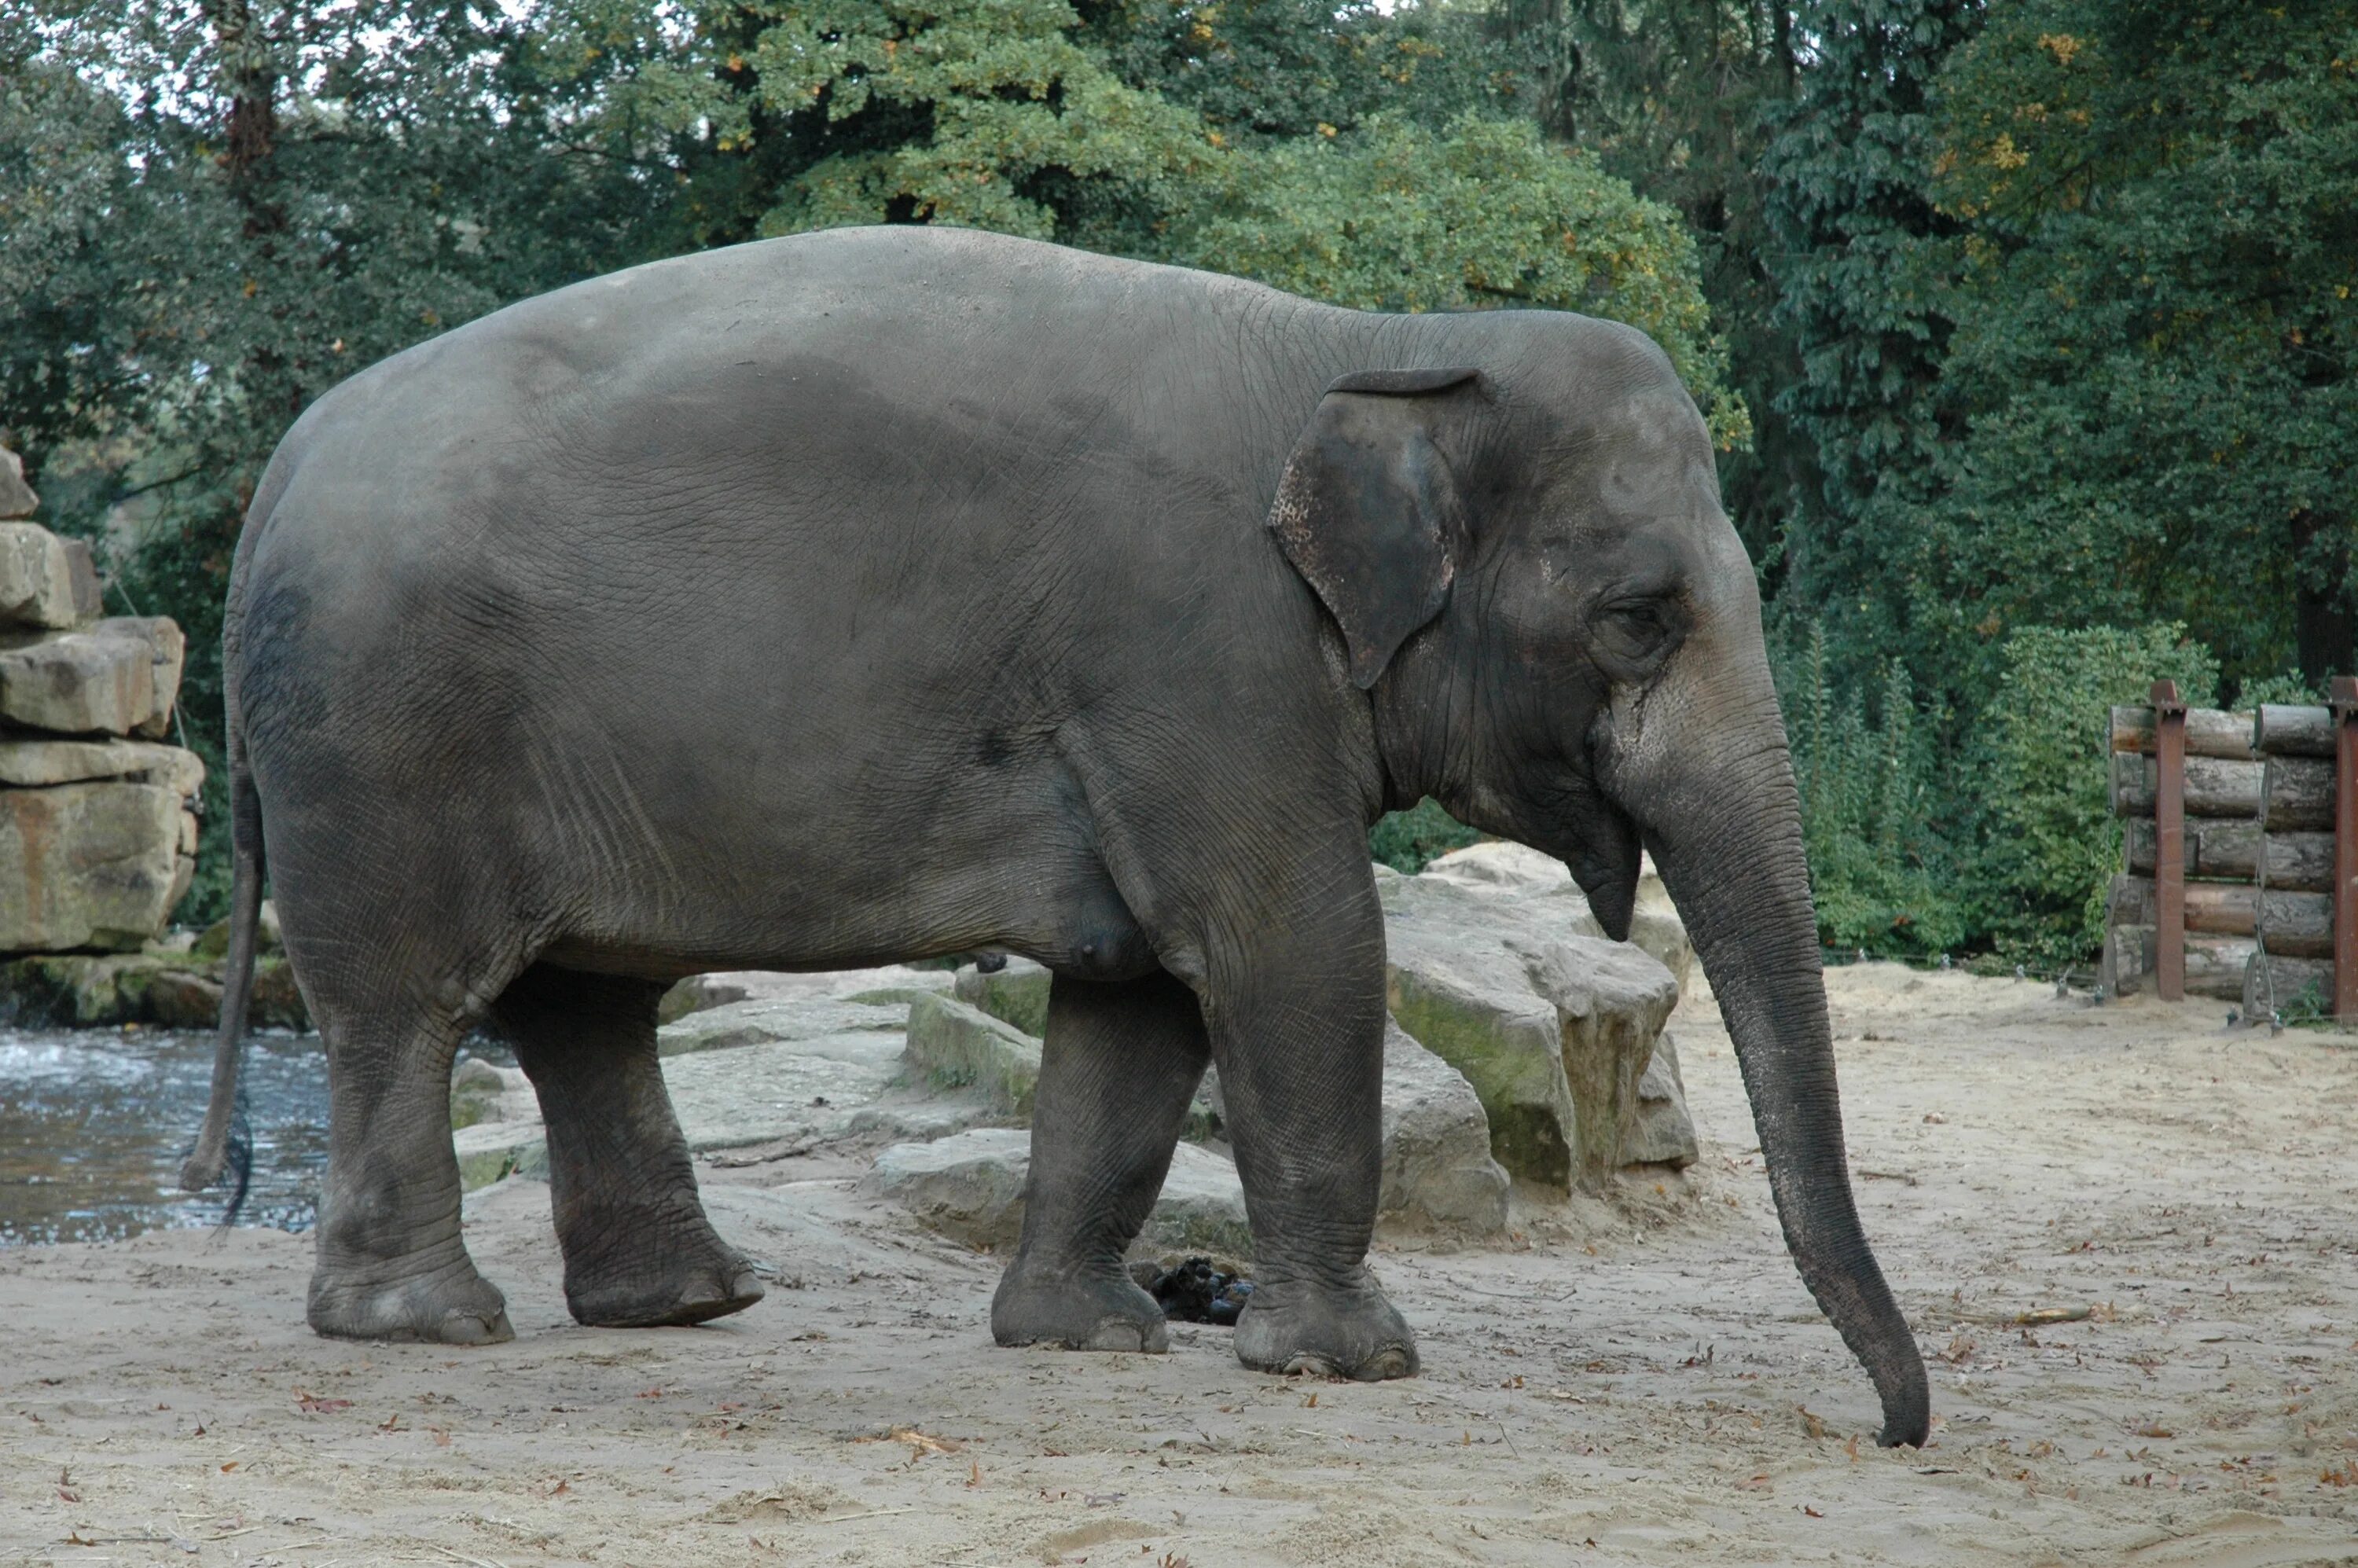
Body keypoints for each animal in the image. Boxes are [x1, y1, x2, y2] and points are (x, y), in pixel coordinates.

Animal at [174, 220, 1924, 1443]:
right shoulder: (1200, 654)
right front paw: (1353, 1364)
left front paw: (1086, 1337)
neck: (1385, 347)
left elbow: (1140, 998)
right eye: (1639, 619)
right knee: (408, 1007)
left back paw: (686, 1303)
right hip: (384, 737)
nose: (1892, 1430)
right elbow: (1291, 947)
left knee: (579, 1004)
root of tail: (275, 472)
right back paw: (431, 1323)